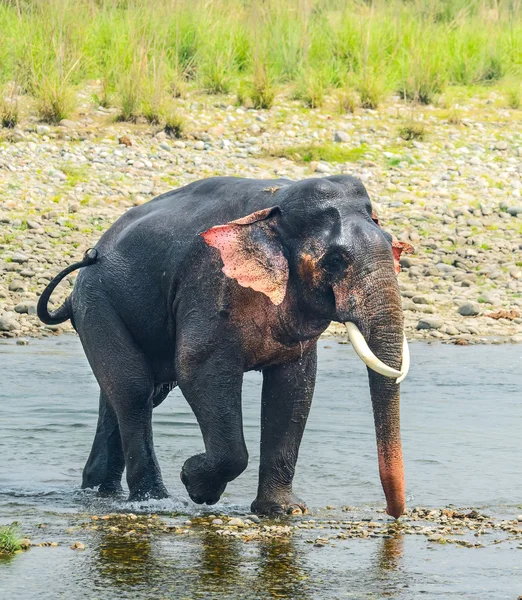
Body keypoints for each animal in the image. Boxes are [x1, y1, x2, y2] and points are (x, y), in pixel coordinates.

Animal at [35, 173, 410, 516]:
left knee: (124, 395)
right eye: (335, 261)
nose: (393, 514)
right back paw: (153, 502)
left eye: (393, 250)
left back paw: (100, 491)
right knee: (134, 390)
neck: (277, 207)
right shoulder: (211, 283)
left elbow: (294, 386)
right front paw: (195, 483)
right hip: (97, 302)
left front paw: (284, 511)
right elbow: (198, 369)